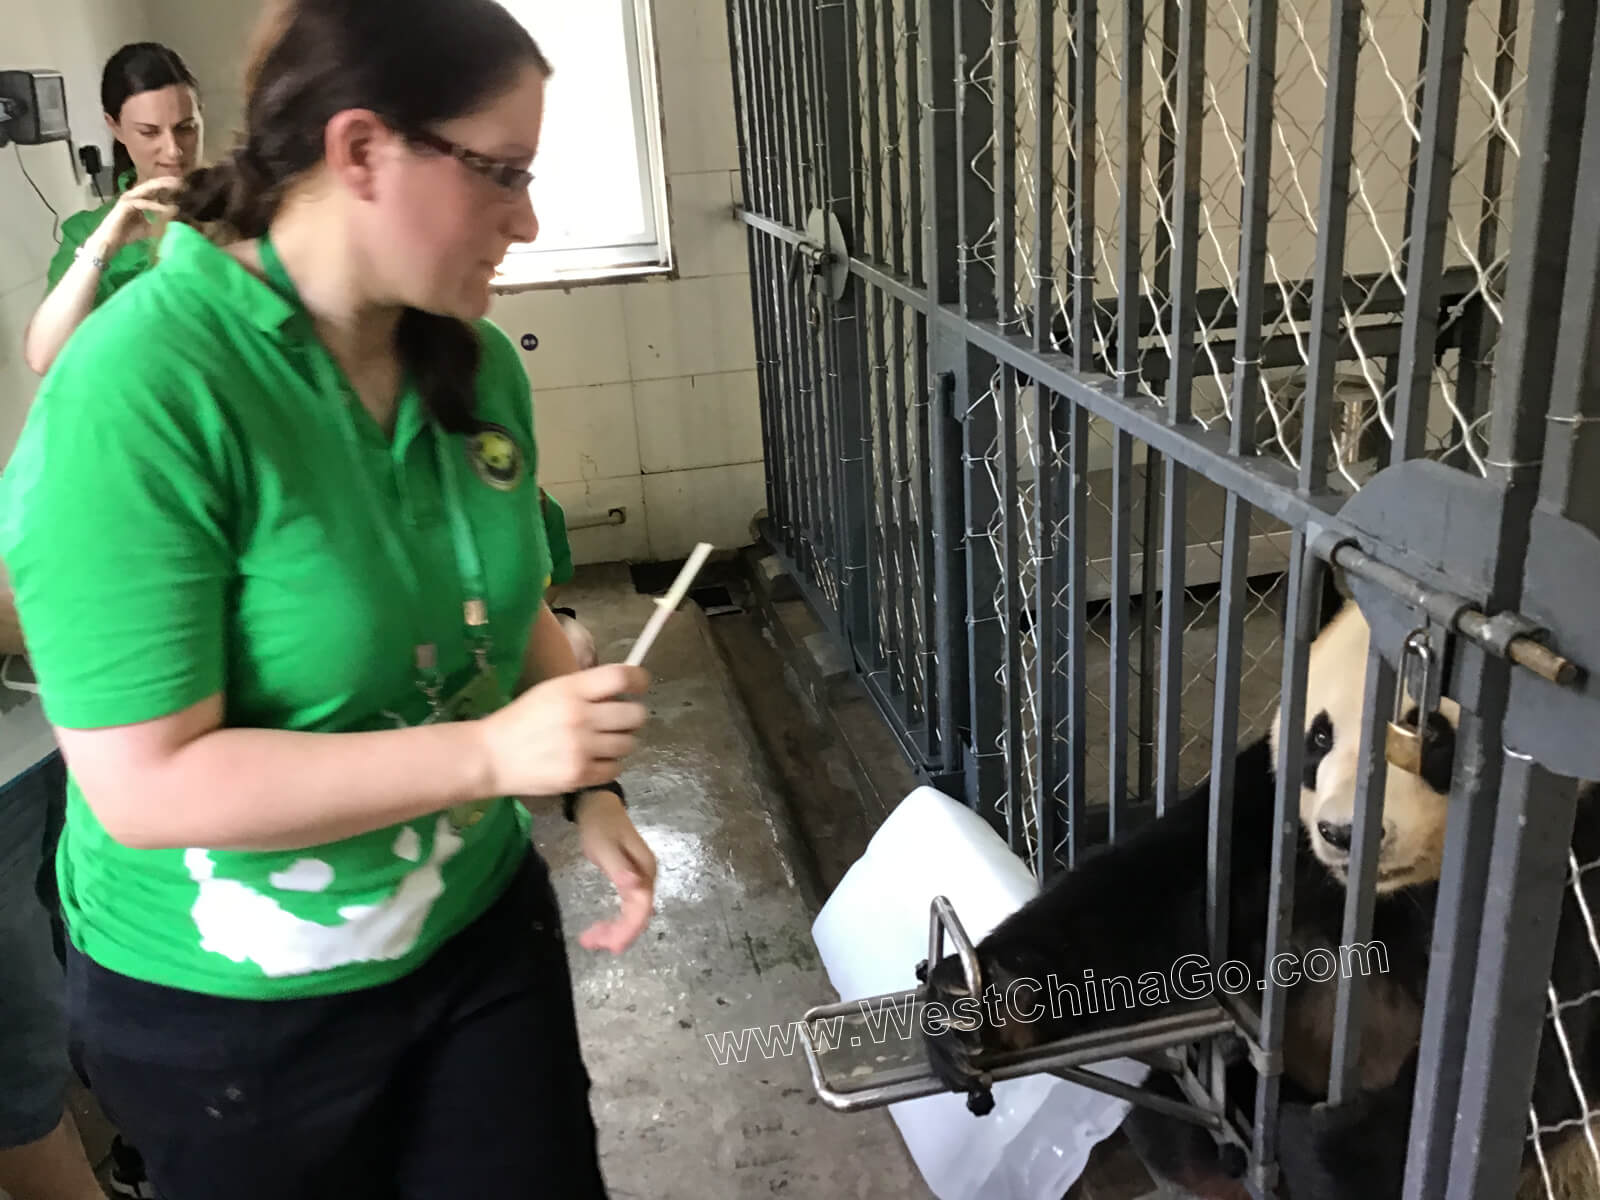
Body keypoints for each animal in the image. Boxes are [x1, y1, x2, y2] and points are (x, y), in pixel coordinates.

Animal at [915, 598, 1600, 1196]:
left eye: (1430, 737)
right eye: (1320, 738)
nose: (1342, 832)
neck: (1391, 889)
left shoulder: (1569, 874)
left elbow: (1530, 1065)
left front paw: (1334, 1150)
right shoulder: (1270, 813)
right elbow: (1149, 894)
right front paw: (976, 1004)